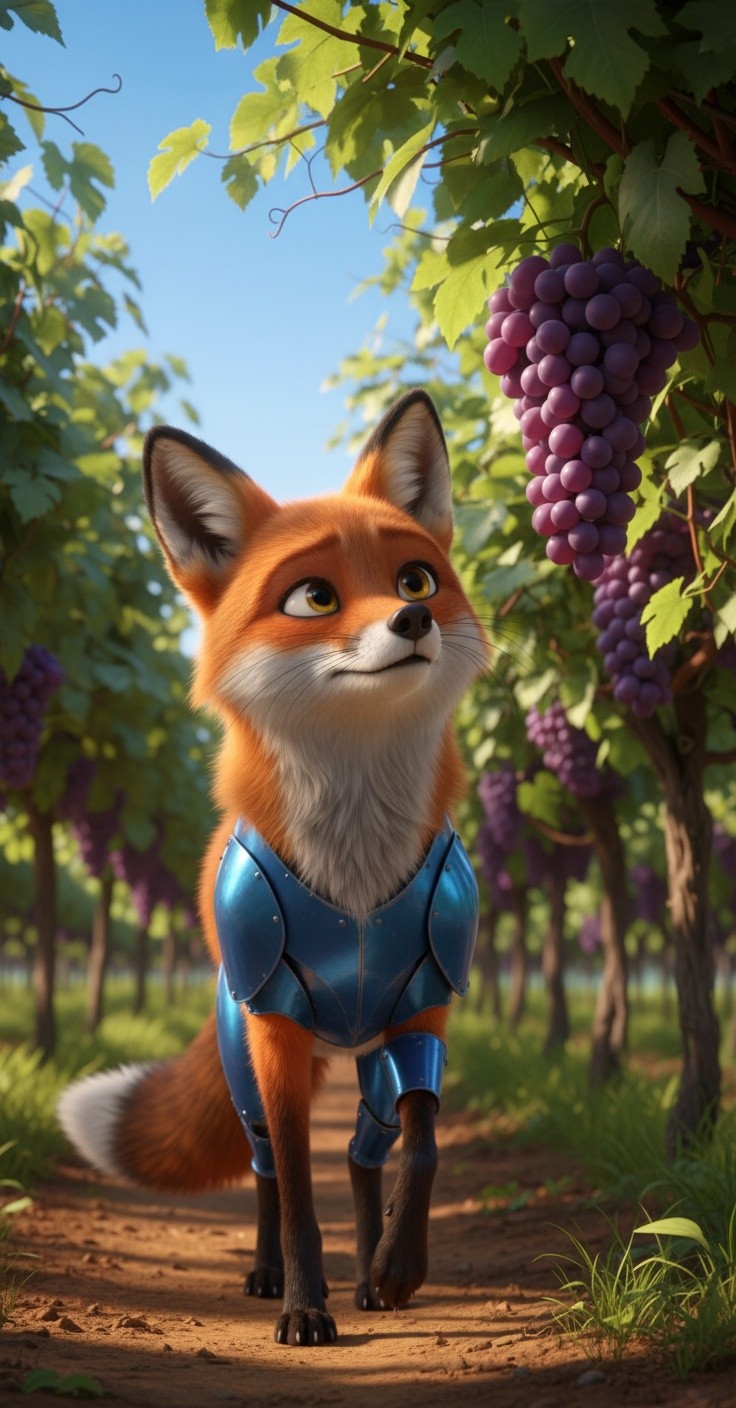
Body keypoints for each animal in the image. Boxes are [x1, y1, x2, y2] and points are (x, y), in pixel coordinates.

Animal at [58, 389, 489, 1348]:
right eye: (315, 596)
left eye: (417, 580)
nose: (414, 622)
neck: (357, 873)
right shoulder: (277, 1034)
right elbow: (294, 1187)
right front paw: (302, 1304)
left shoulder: (427, 1008)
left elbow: (424, 1148)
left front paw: (397, 1268)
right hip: (240, 1056)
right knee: (260, 1166)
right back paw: (264, 1274)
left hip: (370, 1062)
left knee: (366, 1156)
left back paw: (369, 1271)